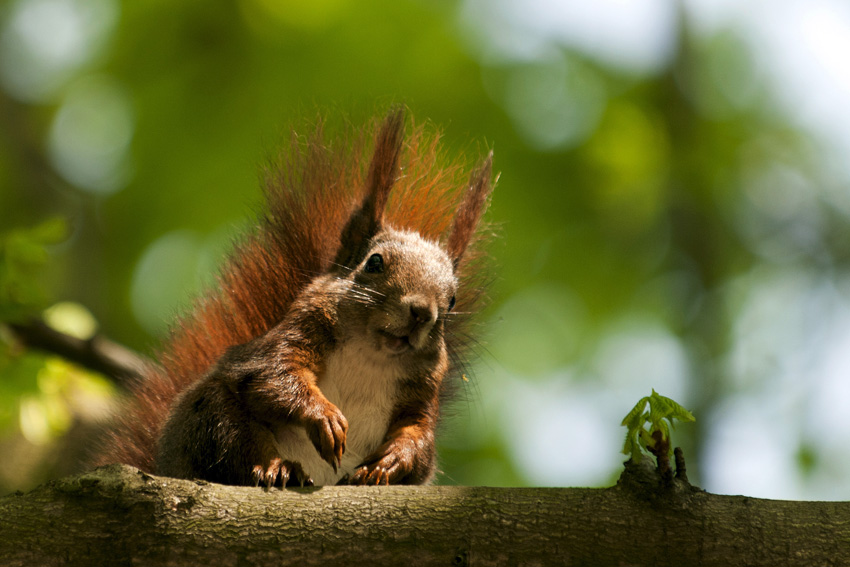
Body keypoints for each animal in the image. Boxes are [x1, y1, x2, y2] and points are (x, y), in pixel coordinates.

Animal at [93, 110, 494, 488]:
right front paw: (323, 416)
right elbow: (275, 376)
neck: (371, 359)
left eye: (453, 299)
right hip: (208, 415)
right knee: (238, 445)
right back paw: (278, 467)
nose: (422, 312)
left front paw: (392, 459)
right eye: (375, 262)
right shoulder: (293, 335)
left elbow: (419, 438)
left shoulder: (422, 393)